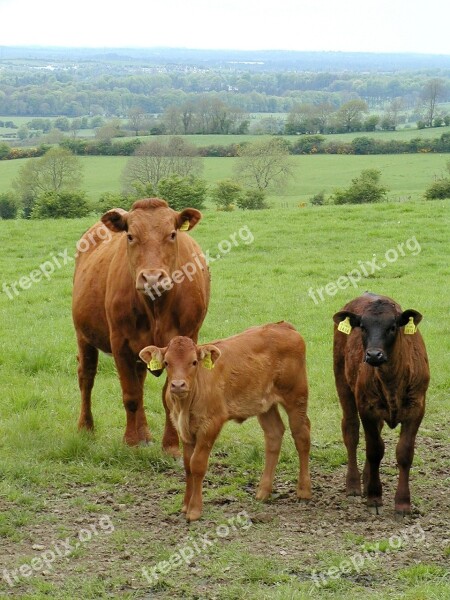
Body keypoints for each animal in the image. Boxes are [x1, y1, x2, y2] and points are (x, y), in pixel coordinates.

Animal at [71, 198, 209, 454]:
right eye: (130, 236)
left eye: (172, 234)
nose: (152, 277)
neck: (155, 307)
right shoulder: (120, 344)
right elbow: (131, 395)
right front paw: (130, 442)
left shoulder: (184, 341)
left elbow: (167, 396)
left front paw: (170, 446)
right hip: (83, 336)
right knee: (87, 377)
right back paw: (86, 427)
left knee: (140, 380)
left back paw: (145, 434)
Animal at [139, 322, 312, 524]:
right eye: (167, 363)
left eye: (194, 362)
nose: (178, 385)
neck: (185, 405)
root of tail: (283, 326)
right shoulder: (184, 430)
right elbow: (188, 466)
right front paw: (185, 505)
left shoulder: (210, 424)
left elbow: (197, 465)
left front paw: (195, 510)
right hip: (264, 404)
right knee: (274, 434)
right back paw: (263, 491)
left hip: (296, 396)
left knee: (302, 436)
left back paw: (303, 491)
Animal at [332, 292, 430, 516]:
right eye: (362, 326)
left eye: (392, 326)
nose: (374, 355)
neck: (392, 380)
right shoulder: (366, 408)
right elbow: (375, 450)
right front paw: (375, 497)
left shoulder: (417, 408)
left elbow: (404, 453)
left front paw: (402, 503)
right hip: (342, 383)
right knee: (351, 431)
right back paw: (354, 485)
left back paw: (367, 479)